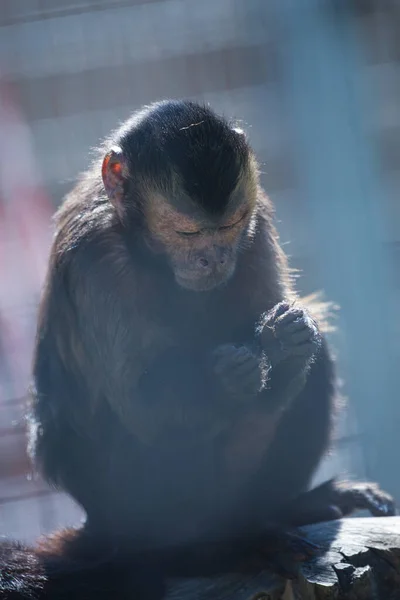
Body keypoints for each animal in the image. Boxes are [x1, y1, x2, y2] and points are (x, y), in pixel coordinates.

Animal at [0, 101, 394, 596]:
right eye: (186, 233)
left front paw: (284, 354)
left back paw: (280, 507)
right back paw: (209, 549)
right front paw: (230, 379)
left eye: (229, 226)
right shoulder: (96, 255)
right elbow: (142, 406)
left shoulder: (257, 222)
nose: (214, 258)